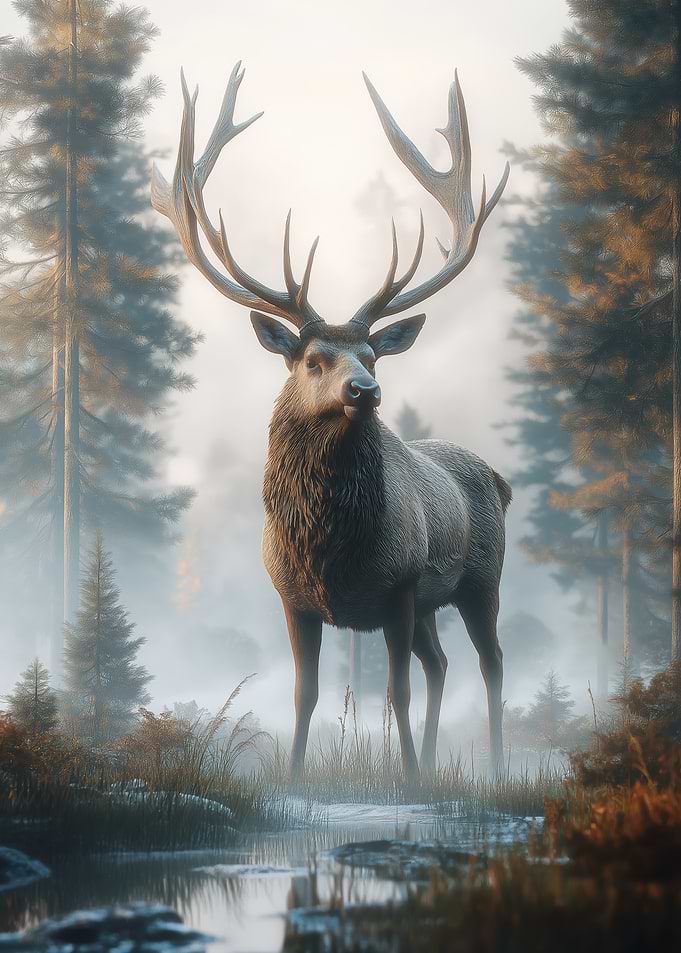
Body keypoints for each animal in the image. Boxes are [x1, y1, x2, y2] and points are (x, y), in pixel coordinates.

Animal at [152, 62, 511, 784]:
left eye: (372, 355)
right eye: (314, 358)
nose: (365, 389)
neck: (329, 548)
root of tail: (497, 477)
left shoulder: (400, 584)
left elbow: (396, 689)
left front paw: (406, 777)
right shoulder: (292, 599)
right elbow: (305, 692)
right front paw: (294, 776)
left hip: (481, 577)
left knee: (488, 665)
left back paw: (489, 766)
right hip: (434, 604)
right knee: (441, 663)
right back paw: (438, 761)